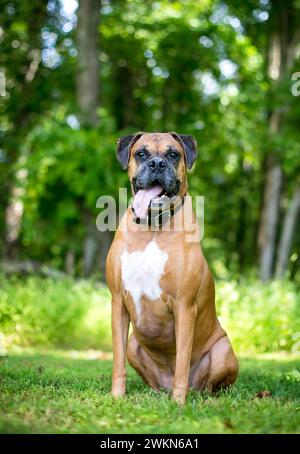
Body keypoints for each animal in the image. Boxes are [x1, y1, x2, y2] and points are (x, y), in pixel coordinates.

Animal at [106, 131, 238, 404]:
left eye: (173, 154)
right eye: (141, 153)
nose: (157, 164)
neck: (153, 228)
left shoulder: (184, 307)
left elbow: (182, 362)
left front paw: (179, 403)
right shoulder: (118, 302)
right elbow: (117, 361)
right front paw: (116, 397)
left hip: (223, 350)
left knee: (210, 384)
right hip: (134, 343)